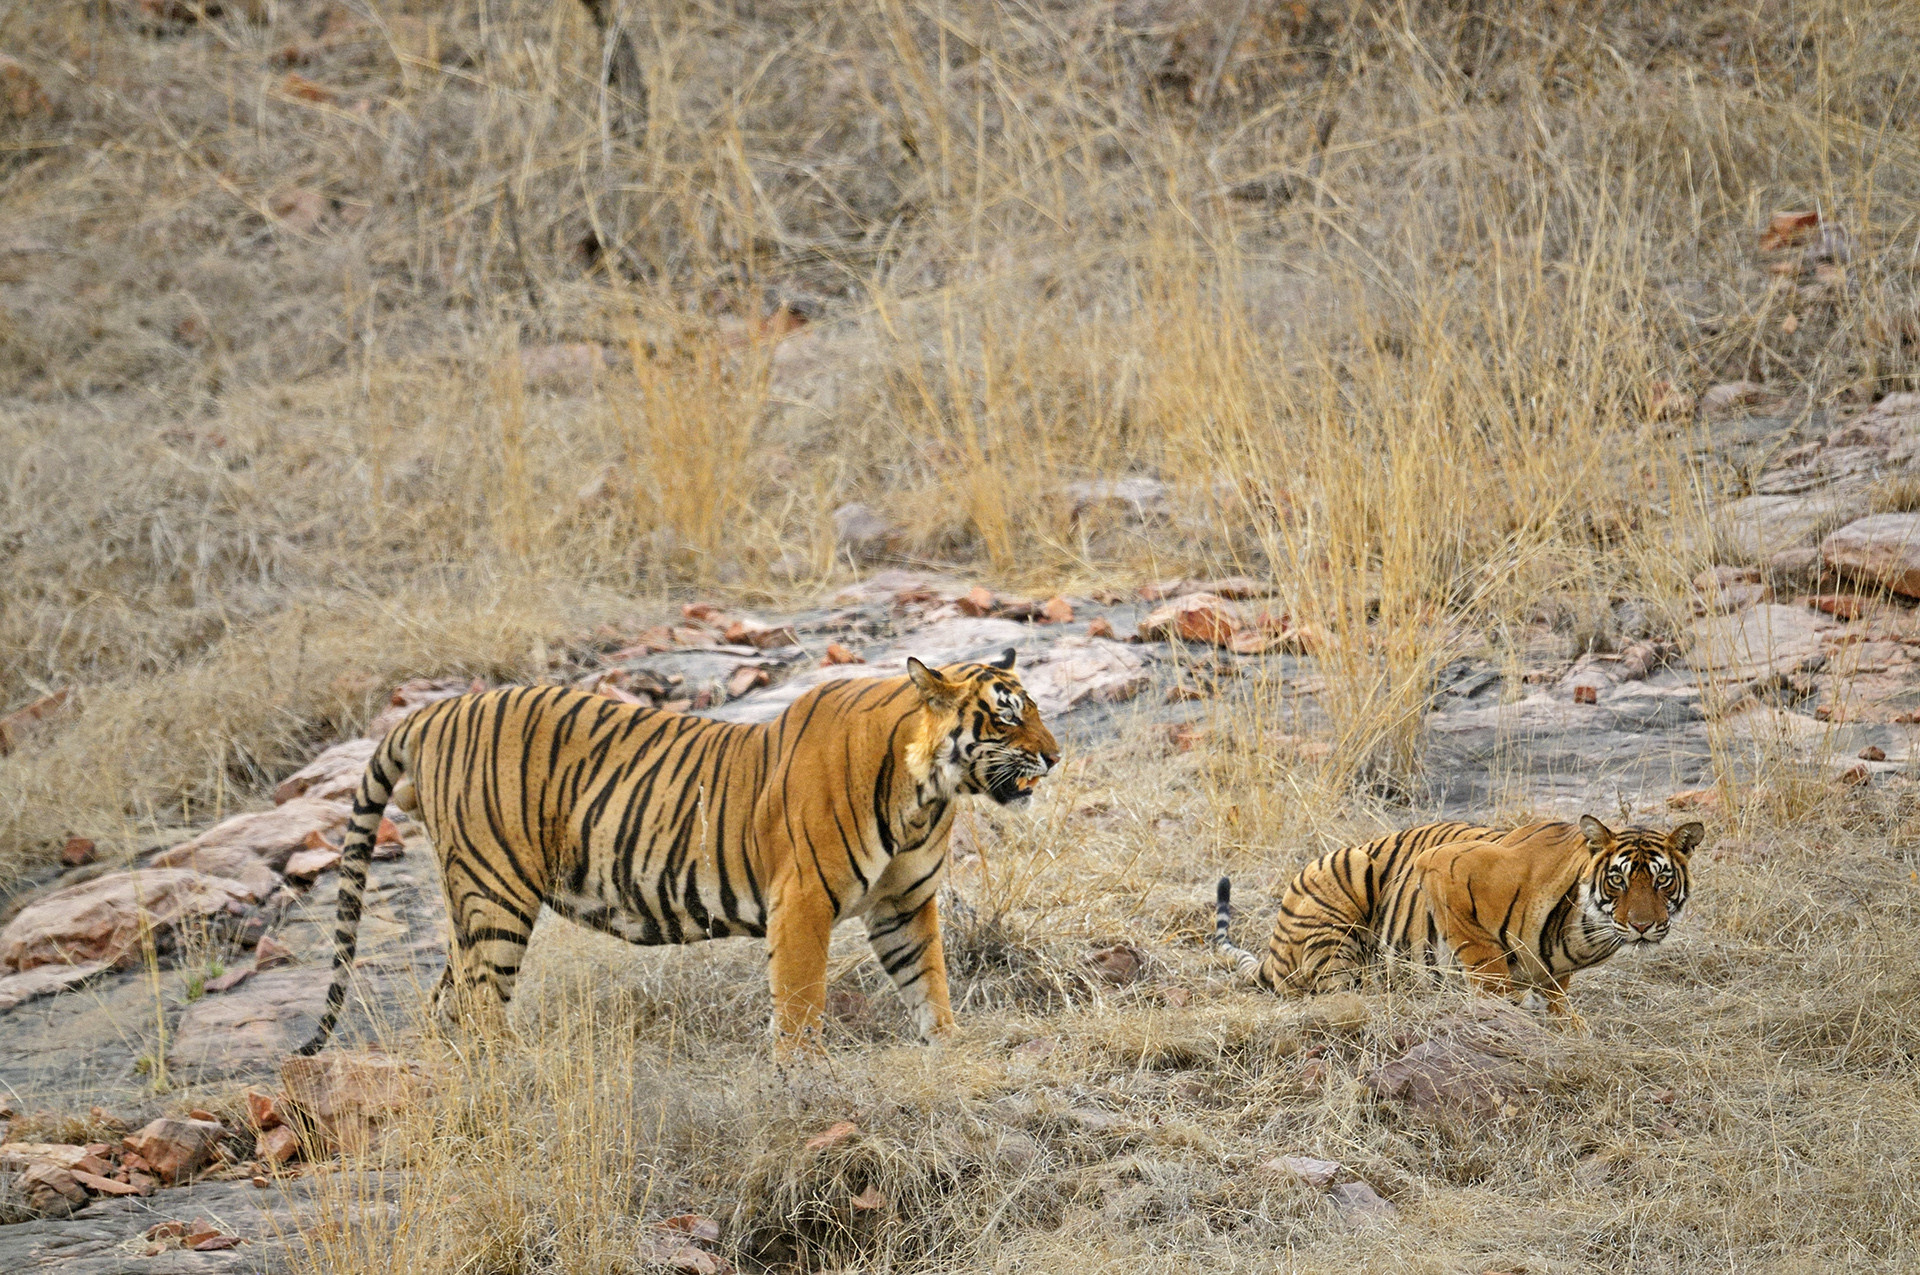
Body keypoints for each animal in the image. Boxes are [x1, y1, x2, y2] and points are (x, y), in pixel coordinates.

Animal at [293, 649, 1059, 1056]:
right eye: (1006, 715)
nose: (1055, 756)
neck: (925, 791)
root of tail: (432, 711)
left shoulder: (902, 904)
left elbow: (929, 982)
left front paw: (949, 1049)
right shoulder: (803, 901)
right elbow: (799, 1003)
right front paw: (802, 1077)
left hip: (472, 905)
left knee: (445, 1004)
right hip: (494, 893)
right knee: (480, 1005)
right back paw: (510, 1077)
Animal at [1213, 816, 1702, 1018]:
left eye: (1662, 881)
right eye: (1618, 880)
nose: (1641, 925)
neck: (1586, 933)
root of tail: (1273, 949)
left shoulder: (1556, 972)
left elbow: (1557, 997)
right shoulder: (1443, 867)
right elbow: (1485, 959)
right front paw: (1505, 1007)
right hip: (1346, 877)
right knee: (1334, 989)